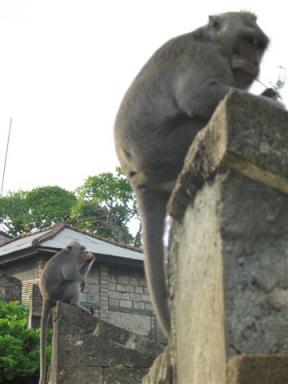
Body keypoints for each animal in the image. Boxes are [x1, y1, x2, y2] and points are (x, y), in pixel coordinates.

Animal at [38, 242, 94, 384]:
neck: (70, 253)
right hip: (60, 293)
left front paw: (90, 258)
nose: (85, 252)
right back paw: (76, 304)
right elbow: (70, 275)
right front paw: (83, 280)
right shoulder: (71, 261)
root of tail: (46, 297)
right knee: (72, 282)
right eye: (82, 248)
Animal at [113, 10, 268, 338]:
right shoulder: (203, 57)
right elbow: (200, 96)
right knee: (200, 118)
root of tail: (137, 179)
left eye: (259, 45)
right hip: (166, 149)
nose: (255, 62)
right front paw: (270, 95)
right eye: (247, 41)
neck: (211, 40)